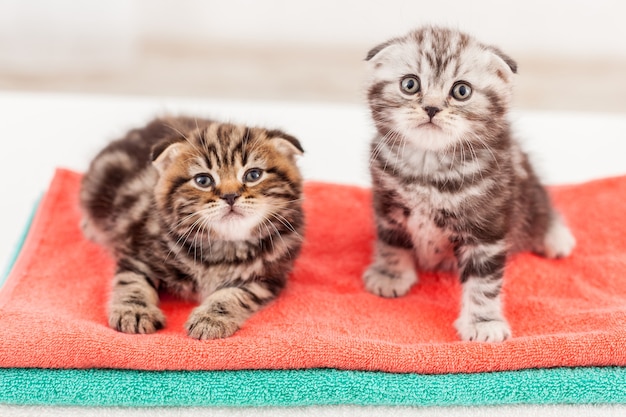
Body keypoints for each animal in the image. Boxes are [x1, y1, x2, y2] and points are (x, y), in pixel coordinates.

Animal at [79, 116, 304, 338]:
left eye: (253, 175)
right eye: (203, 180)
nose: (230, 196)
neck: (223, 246)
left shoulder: (266, 277)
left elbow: (235, 295)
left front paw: (211, 319)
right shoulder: (138, 249)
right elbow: (132, 280)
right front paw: (134, 310)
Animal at [364, 26, 572, 342]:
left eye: (461, 91)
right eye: (410, 84)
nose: (431, 108)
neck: (429, 169)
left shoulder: (486, 226)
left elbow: (483, 282)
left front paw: (483, 323)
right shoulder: (388, 205)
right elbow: (392, 242)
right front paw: (390, 275)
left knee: (541, 205)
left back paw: (556, 237)